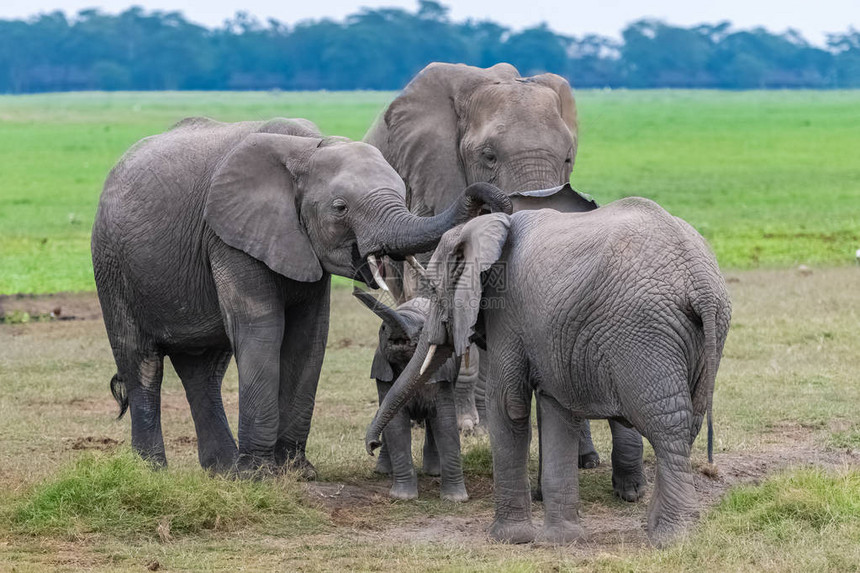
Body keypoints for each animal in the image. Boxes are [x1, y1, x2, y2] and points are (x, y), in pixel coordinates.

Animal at [92, 115, 510, 474]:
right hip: (111, 264)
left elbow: (309, 336)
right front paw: (259, 476)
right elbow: (262, 329)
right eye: (340, 208)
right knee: (142, 361)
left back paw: (223, 471)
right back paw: (154, 472)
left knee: (204, 370)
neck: (307, 150)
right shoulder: (229, 236)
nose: (494, 201)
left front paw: (297, 471)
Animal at [352, 290, 466, 500]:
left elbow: (445, 421)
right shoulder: (383, 372)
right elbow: (395, 424)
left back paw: (433, 472)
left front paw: (455, 500)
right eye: (383, 327)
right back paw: (383, 471)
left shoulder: (443, 374)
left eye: (422, 329)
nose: (372, 445)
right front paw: (403, 497)